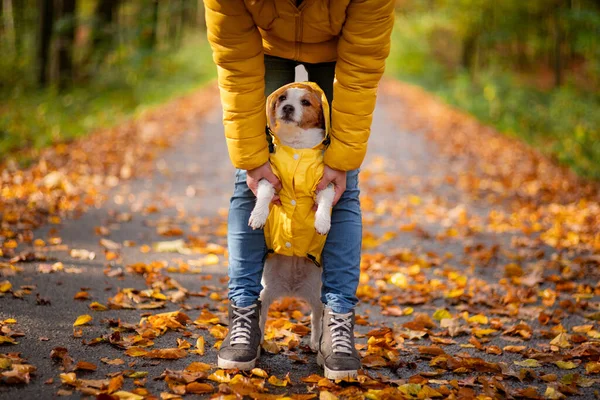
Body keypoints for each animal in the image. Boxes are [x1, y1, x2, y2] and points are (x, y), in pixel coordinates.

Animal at [246, 82, 336, 350]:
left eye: (305, 102)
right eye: (283, 98)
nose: (287, 107)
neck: (297, 149)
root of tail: (292, 289)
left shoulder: (326, 186)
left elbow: (324, 204)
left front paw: (322, 222)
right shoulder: (269, 180)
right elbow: (264, 196)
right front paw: (258, 216)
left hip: (317, 298)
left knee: (317, 320)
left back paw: (316, 344)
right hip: (264, 293)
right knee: (262, 317)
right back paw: (259, 343)